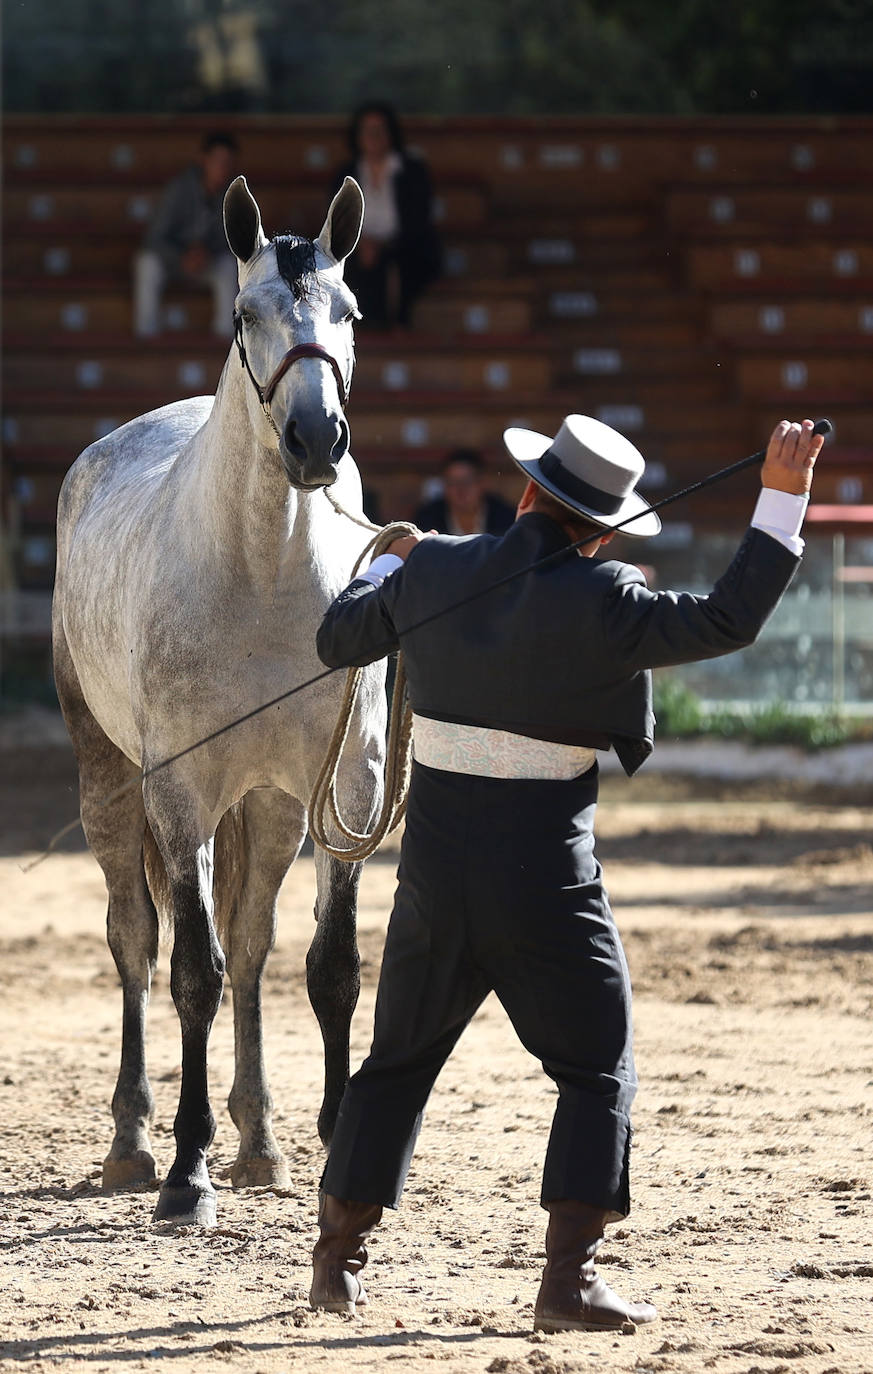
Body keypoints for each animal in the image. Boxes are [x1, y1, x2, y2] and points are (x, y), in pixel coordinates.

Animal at [51, 179, 384, 1225]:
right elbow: (190, 973)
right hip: (111, 783)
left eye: (351, 312)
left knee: (249, 941)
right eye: (245, 314)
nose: (315, 439)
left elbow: (327, 970)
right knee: (137, 943)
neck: (264, 576)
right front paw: (186, 1173)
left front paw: (323, 1147)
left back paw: (262, 1142)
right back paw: (133, 1145)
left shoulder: (343, 793)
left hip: (273, 808)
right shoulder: (181, 794)